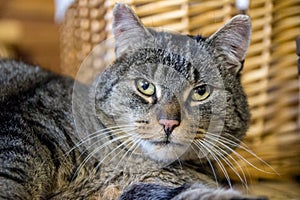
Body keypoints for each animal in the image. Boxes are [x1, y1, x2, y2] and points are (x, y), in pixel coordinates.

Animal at [0, 3, 268, 200]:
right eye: (145, 86)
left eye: (200, 91)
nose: (169, 123)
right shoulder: (22, 130)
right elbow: (10, 177)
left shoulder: (146, 188)